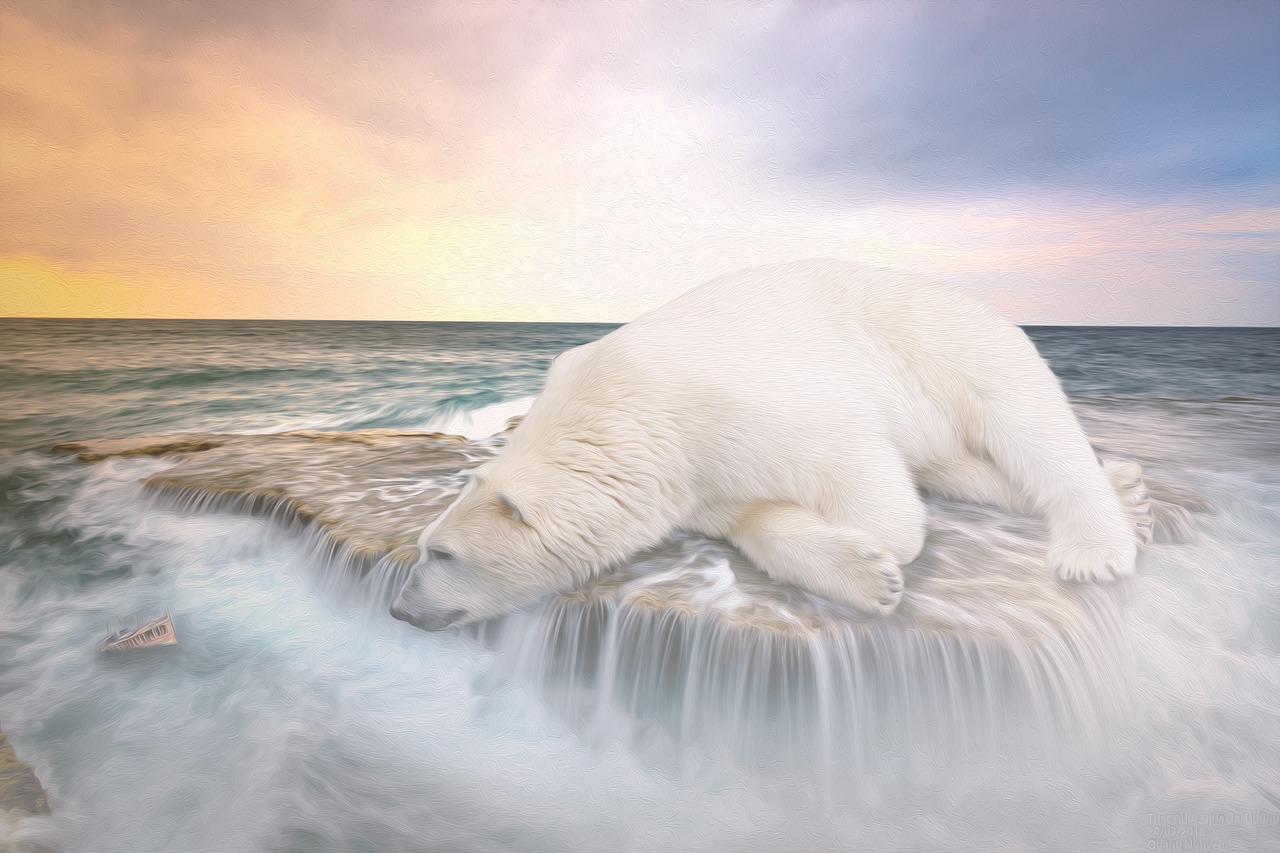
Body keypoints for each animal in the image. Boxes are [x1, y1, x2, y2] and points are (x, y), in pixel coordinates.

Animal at [386, 258, 1141, 630]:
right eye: (424, 546)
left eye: (442, 553)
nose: (398, 607)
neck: (622, 411)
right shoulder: (692, 478)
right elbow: (754, 518)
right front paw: (863, 573)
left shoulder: (740, 404)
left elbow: (857, 469)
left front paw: (881, 553)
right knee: (974, 466)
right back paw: (1124, 485)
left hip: (949, 346)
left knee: (1028, 426)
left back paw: (1094, 545)